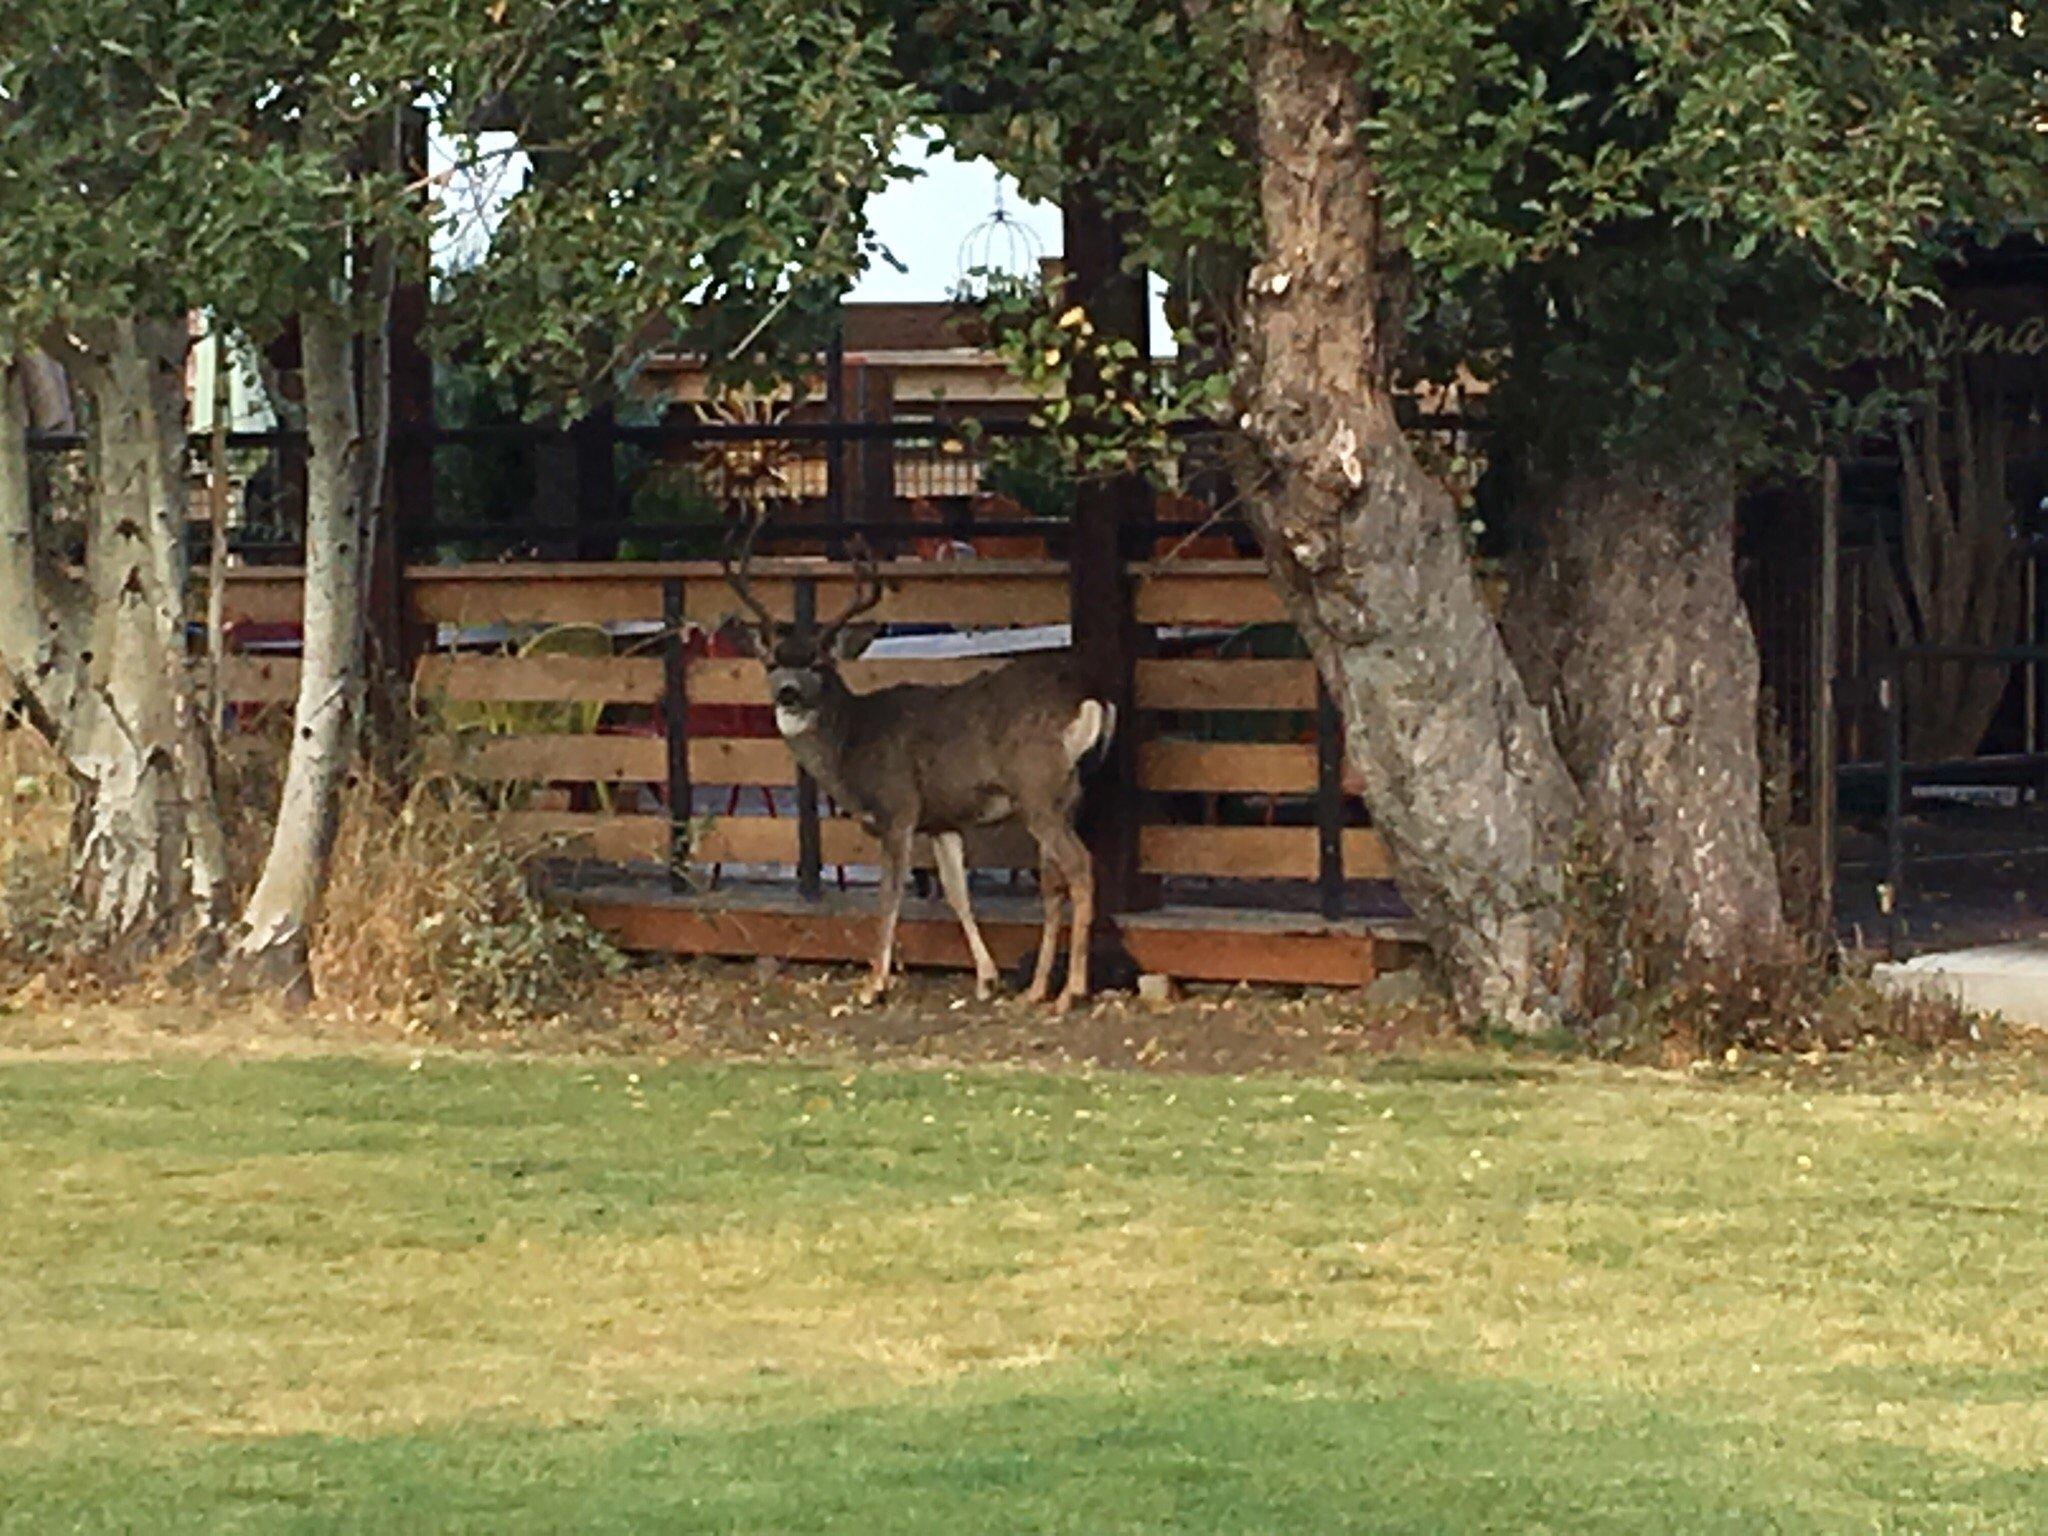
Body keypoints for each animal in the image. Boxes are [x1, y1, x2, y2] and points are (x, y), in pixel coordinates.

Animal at [724, 524, 1122, 1015]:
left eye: (819, 662)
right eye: (772, 662)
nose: (788, 693)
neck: (852, 742)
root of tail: (1091, 697)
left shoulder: (897, 809)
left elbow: (889, 896)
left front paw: (873, 984)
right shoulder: (941, 820)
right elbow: (956, 891)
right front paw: (986, 978)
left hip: (1038, 789)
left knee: (1081, 867)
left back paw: (1071, 992)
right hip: (1064, 795)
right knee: (1053, 883)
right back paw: (1035, 990)